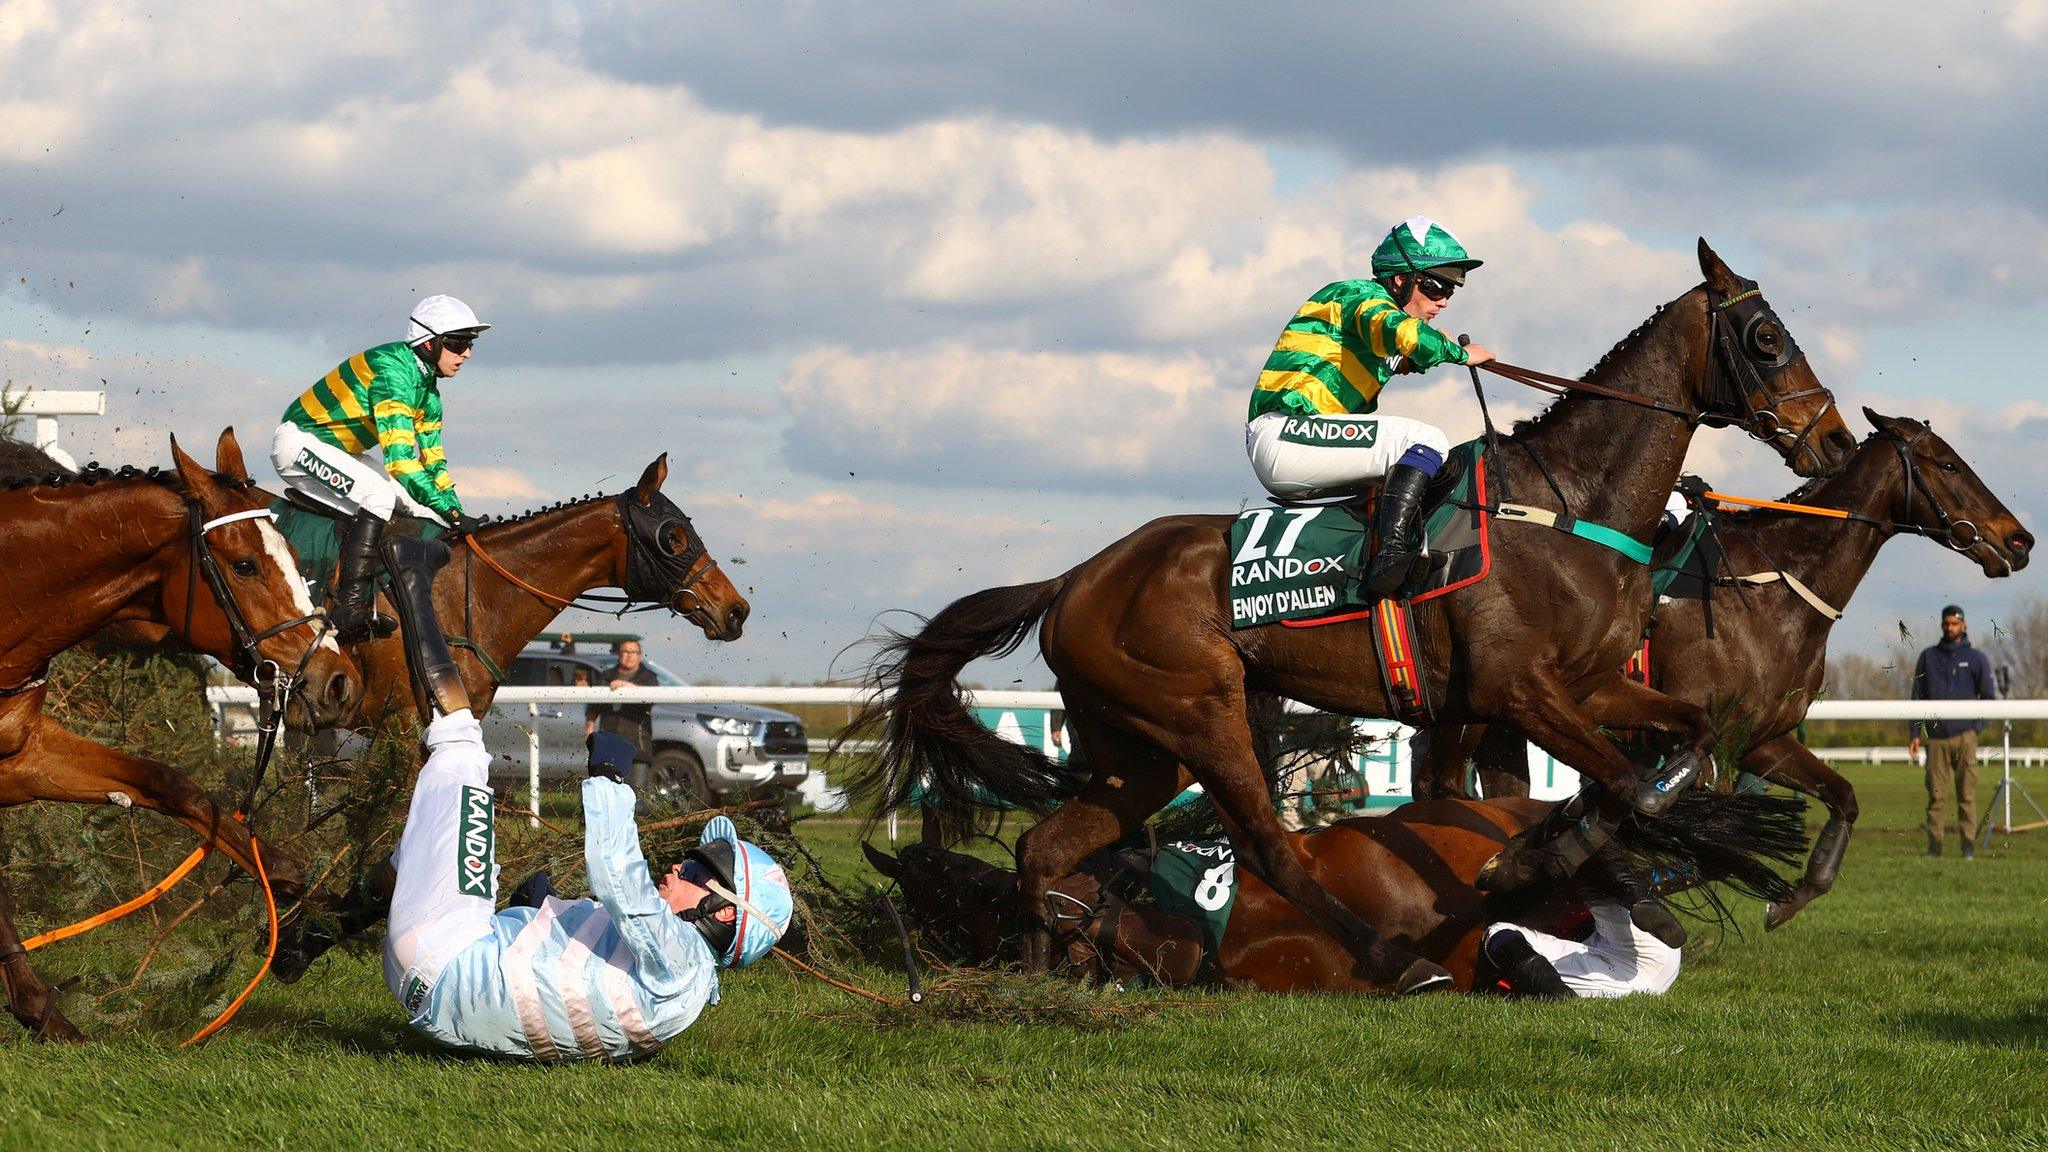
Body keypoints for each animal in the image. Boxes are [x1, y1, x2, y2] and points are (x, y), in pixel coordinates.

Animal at [0, 428, 360, 1033]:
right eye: (245, 565)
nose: (337, 681)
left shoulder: (20, 752)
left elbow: (167, 783)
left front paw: (283, 875)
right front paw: (34, 1004)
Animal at [839, 239, 1867, 988]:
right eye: (1766, 337)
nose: (1831, 440)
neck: (1568, 504)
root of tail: (1073, 578)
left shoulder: (1592, 687)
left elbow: (1679, 751)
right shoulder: (1518, 691)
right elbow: (1631, 785)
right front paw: (1541, 858)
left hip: (1137, 747)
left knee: (1045, 848)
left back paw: (1042, 970)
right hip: (1201, 711)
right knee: (1268, 846)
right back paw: (1393, 960)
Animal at [1425, 407, 2031, 926]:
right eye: (1948, 463)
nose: (2020, 539)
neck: (1772, 590)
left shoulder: (1762, 741)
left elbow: (1842, 798)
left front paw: (1790, 896)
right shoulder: (1705, 742)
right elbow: (1701, 841)